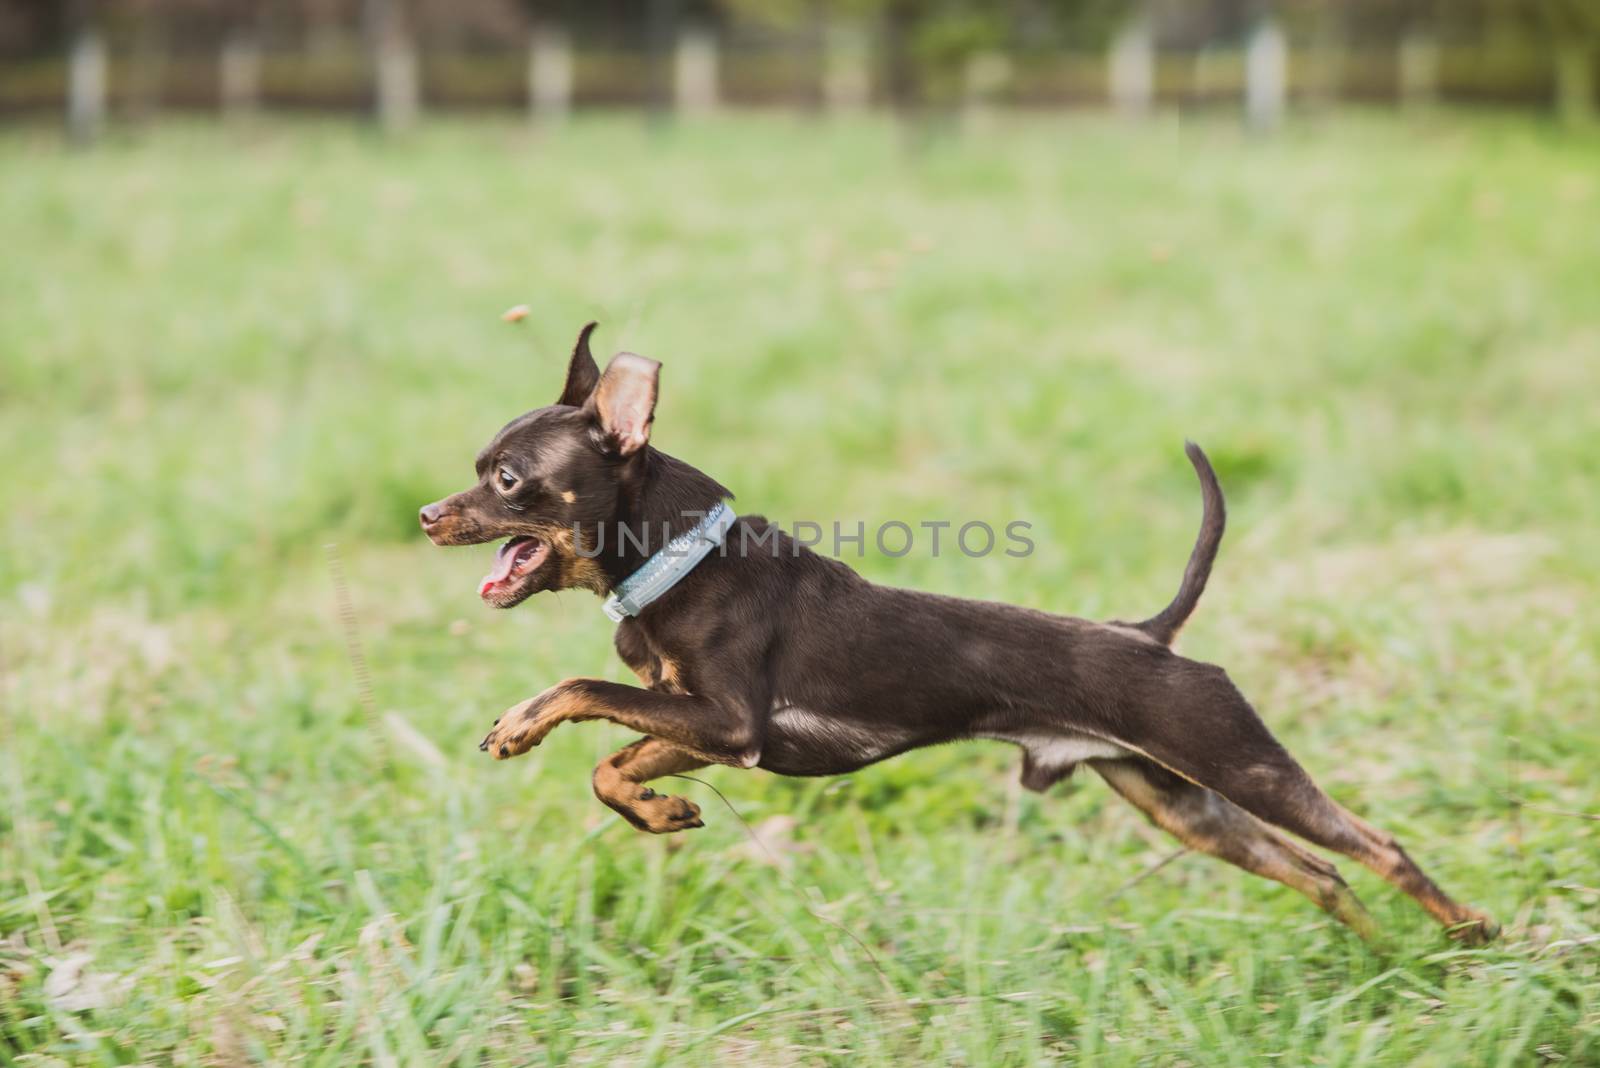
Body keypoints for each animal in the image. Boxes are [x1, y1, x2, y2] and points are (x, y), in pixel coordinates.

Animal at [419, 322, 1491, 940]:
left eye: (506, 478)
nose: (428, 515)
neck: (678, 559)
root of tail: (1151, 636)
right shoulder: (704, 730)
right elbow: (615, 764)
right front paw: (660, 812)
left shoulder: (729, 724)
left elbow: (581, 692)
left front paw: (521, 722)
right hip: (1180, 803)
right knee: (1322, 874)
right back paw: (1380, 954)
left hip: (1237, 762)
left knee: (1376, 846)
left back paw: (1469, 929)